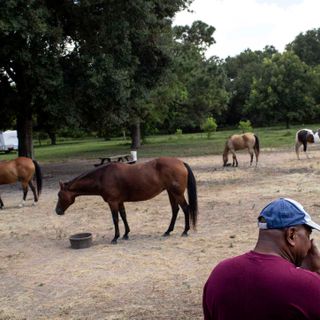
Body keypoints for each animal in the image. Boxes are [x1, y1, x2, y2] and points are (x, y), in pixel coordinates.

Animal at [56, 156, 199, 244]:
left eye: (59, 195)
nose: (57, 211)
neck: (102, 177)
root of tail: (181, 162)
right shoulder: (119, 202)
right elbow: (124, 216)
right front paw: (126, 234)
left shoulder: (113, 202)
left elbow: (115, 219)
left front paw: (115, 238)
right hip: (171, 193)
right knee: (175, 210)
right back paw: (168, 231)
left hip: (177, 193)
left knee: (185, 209)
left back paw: (185, 231)